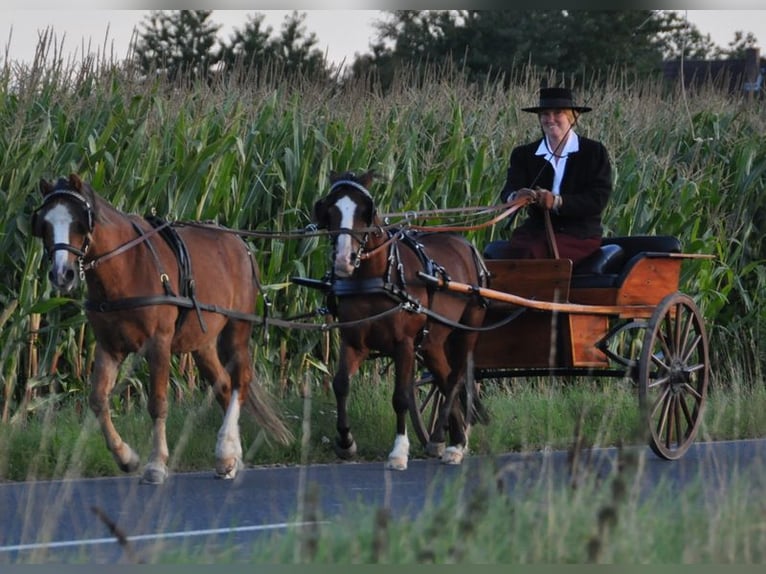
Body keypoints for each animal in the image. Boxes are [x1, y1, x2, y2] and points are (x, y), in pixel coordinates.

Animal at [31, 173, 293, 484]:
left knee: (241, 381)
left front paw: (156, 464)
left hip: (237, 330)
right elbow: (97, 400)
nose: (62, 275)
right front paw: (126, 457)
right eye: (44, 224)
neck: (126, 266)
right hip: (203, 343)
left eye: (80, 222)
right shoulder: (109, 347)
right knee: (224, 386)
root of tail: (240, 243)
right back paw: (229, 459)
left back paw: (227, 449)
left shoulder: (159, 343)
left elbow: (157, 403)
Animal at [312, 170, 489, 470]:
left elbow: (401, 396)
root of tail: (465, 243)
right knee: (443, 379)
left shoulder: (404, 344)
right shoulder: (353, 341)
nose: (344, 260)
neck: (377, 276)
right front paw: (346, 442)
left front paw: (398, 452)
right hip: (432, 343)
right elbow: (341, 384)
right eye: (330, 210)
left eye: (365, 212)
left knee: (455, 380)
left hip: (467, 330)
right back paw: (453, 440)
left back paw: (445, 440)